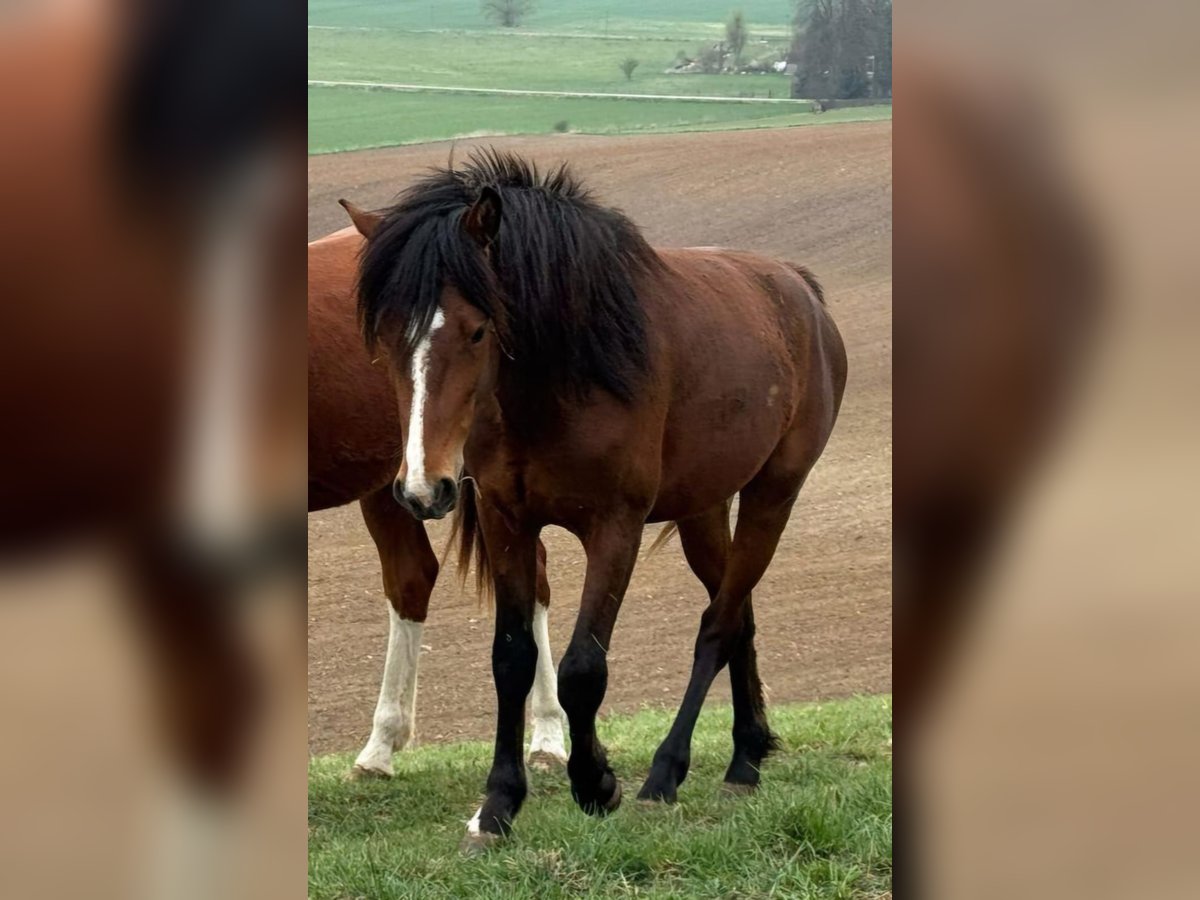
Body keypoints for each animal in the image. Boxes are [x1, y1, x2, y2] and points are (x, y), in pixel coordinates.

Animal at [348, 150, 848, 847]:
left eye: (477, 332)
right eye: (389, 335)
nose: (424, 488)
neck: (564, 374)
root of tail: (800, 290)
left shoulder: (616, 528)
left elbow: (584, 669)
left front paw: (596, 784)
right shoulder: (506, 520)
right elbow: (513, 659)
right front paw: (498, 805)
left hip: (773, 494)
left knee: (718, 625)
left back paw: (666, 775)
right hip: (703, 510)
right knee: (738, 612)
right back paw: (746, 757)